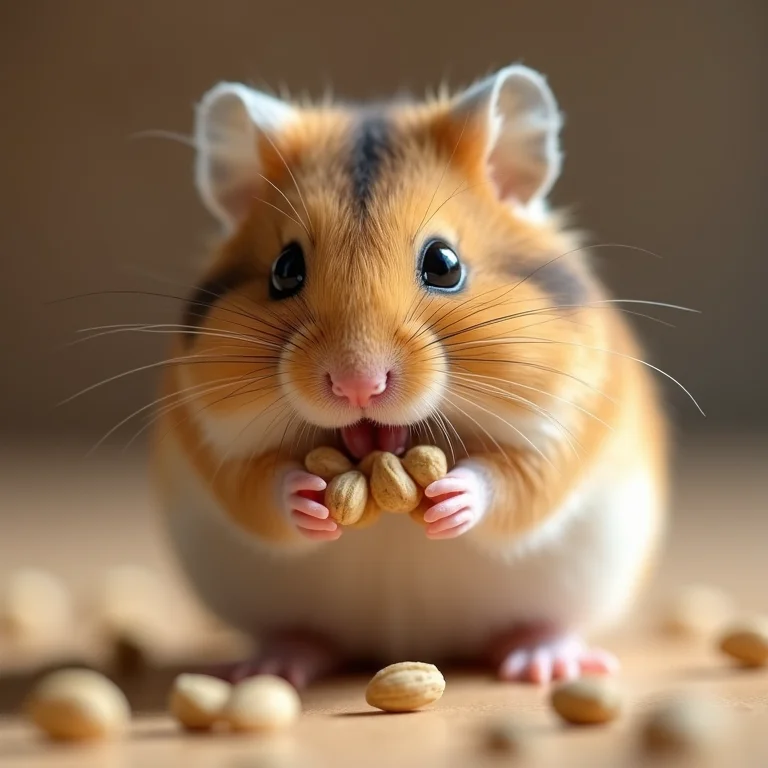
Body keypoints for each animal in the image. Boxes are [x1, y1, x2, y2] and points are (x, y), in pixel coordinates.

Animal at [151, 64, 669, 688]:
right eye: (285, 269)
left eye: (444, 264)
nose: (358, 385)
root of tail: (407, 646)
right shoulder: (209, 441)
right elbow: (258, 486)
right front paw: (309, 497)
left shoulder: (567, 427)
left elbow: (513, 481)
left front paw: (450, 500)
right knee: (304, 637)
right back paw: (269, 665)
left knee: (542, 624)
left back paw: (546, 664)